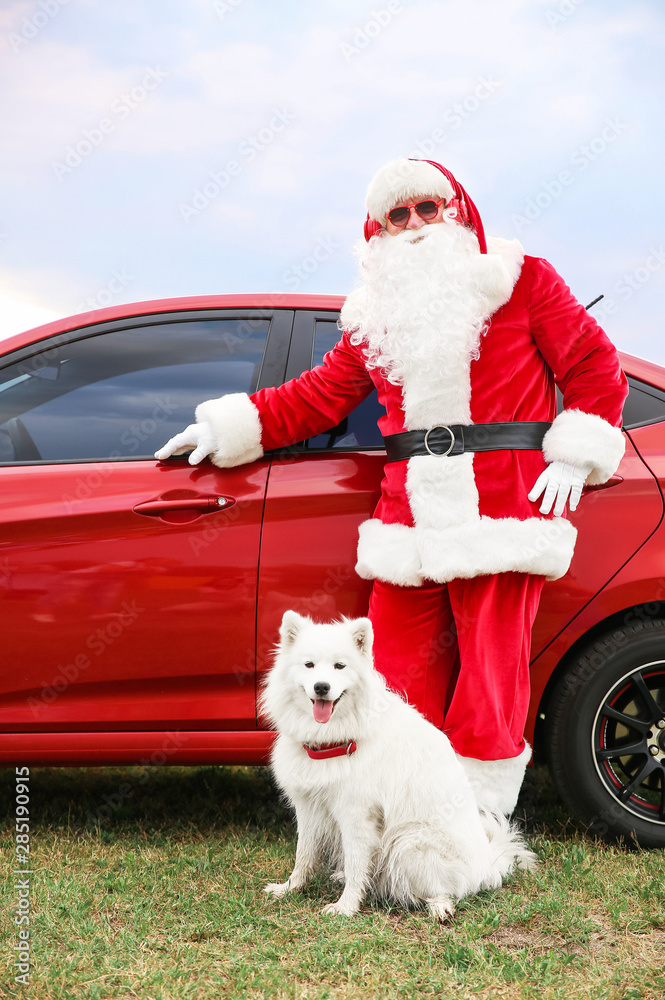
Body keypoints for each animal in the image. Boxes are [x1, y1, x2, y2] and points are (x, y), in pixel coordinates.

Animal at [260, 608, 536, 920]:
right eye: (309, 665)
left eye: (339, 666)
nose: (321, 687)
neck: (334, 741)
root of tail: (487, 864)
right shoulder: (308, 808)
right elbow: (303, 855)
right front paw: (290, 889)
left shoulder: (356, 816)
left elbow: (356, 863)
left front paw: (346, 906)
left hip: (408, 841)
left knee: (445, 888)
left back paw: (440, 907)